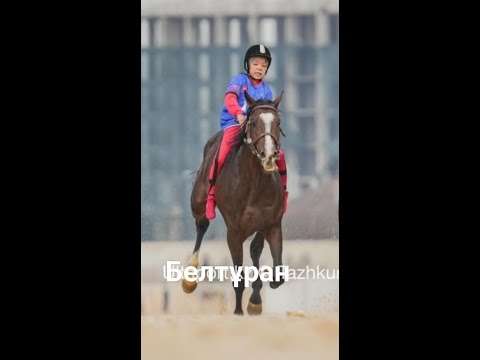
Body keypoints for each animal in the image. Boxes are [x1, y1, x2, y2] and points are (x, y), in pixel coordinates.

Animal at [181, 90, 284, 316]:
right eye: (253, 122)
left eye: (278, 122)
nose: (269, 155)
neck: (254, 183)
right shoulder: (234, 232)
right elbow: (239, 278)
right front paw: (238, 311)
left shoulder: (272, 224)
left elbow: (277, 274)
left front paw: (256, 300)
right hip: (198, 200)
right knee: (202, 224)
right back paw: (189, 278)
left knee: (255, 248)